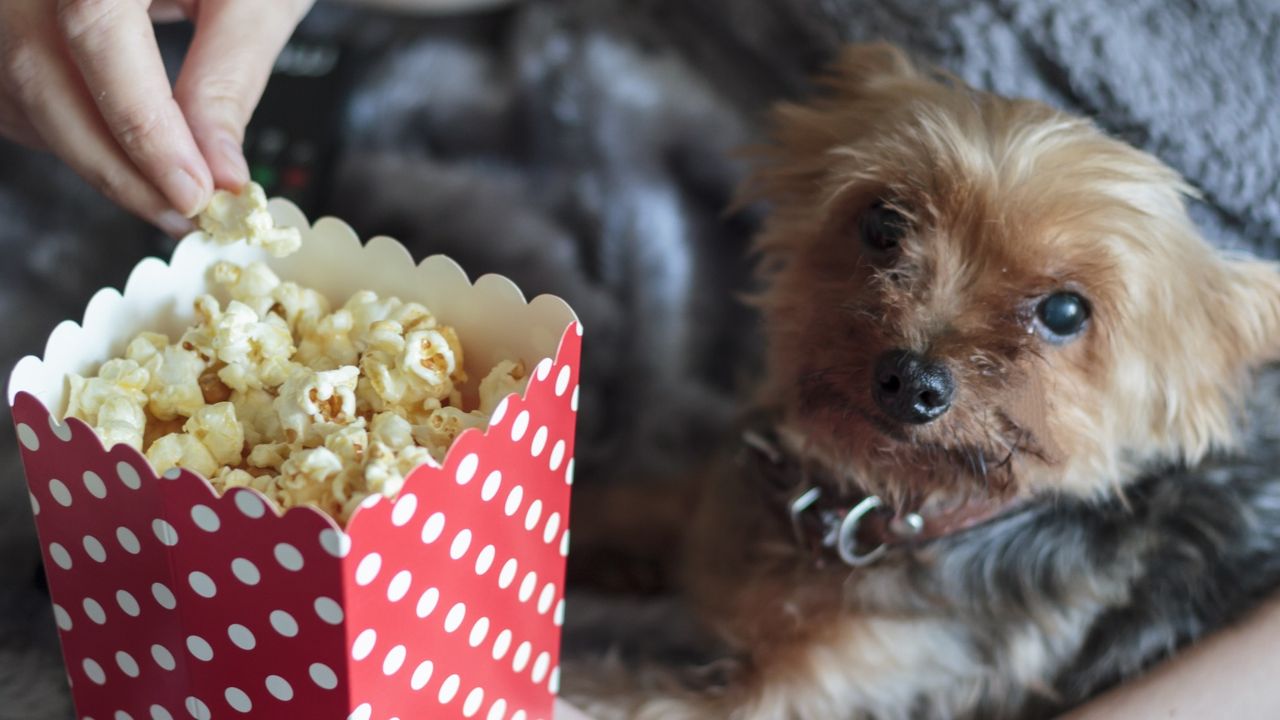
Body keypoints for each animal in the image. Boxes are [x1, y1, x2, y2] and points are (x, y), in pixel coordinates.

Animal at [565, 41, 1280, 712]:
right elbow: (627, 502)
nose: (913, 381)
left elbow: (613, 698)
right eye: (884, 223)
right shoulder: (707, 495)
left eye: (1066, 312)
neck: (863, 510)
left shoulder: (824, 686)